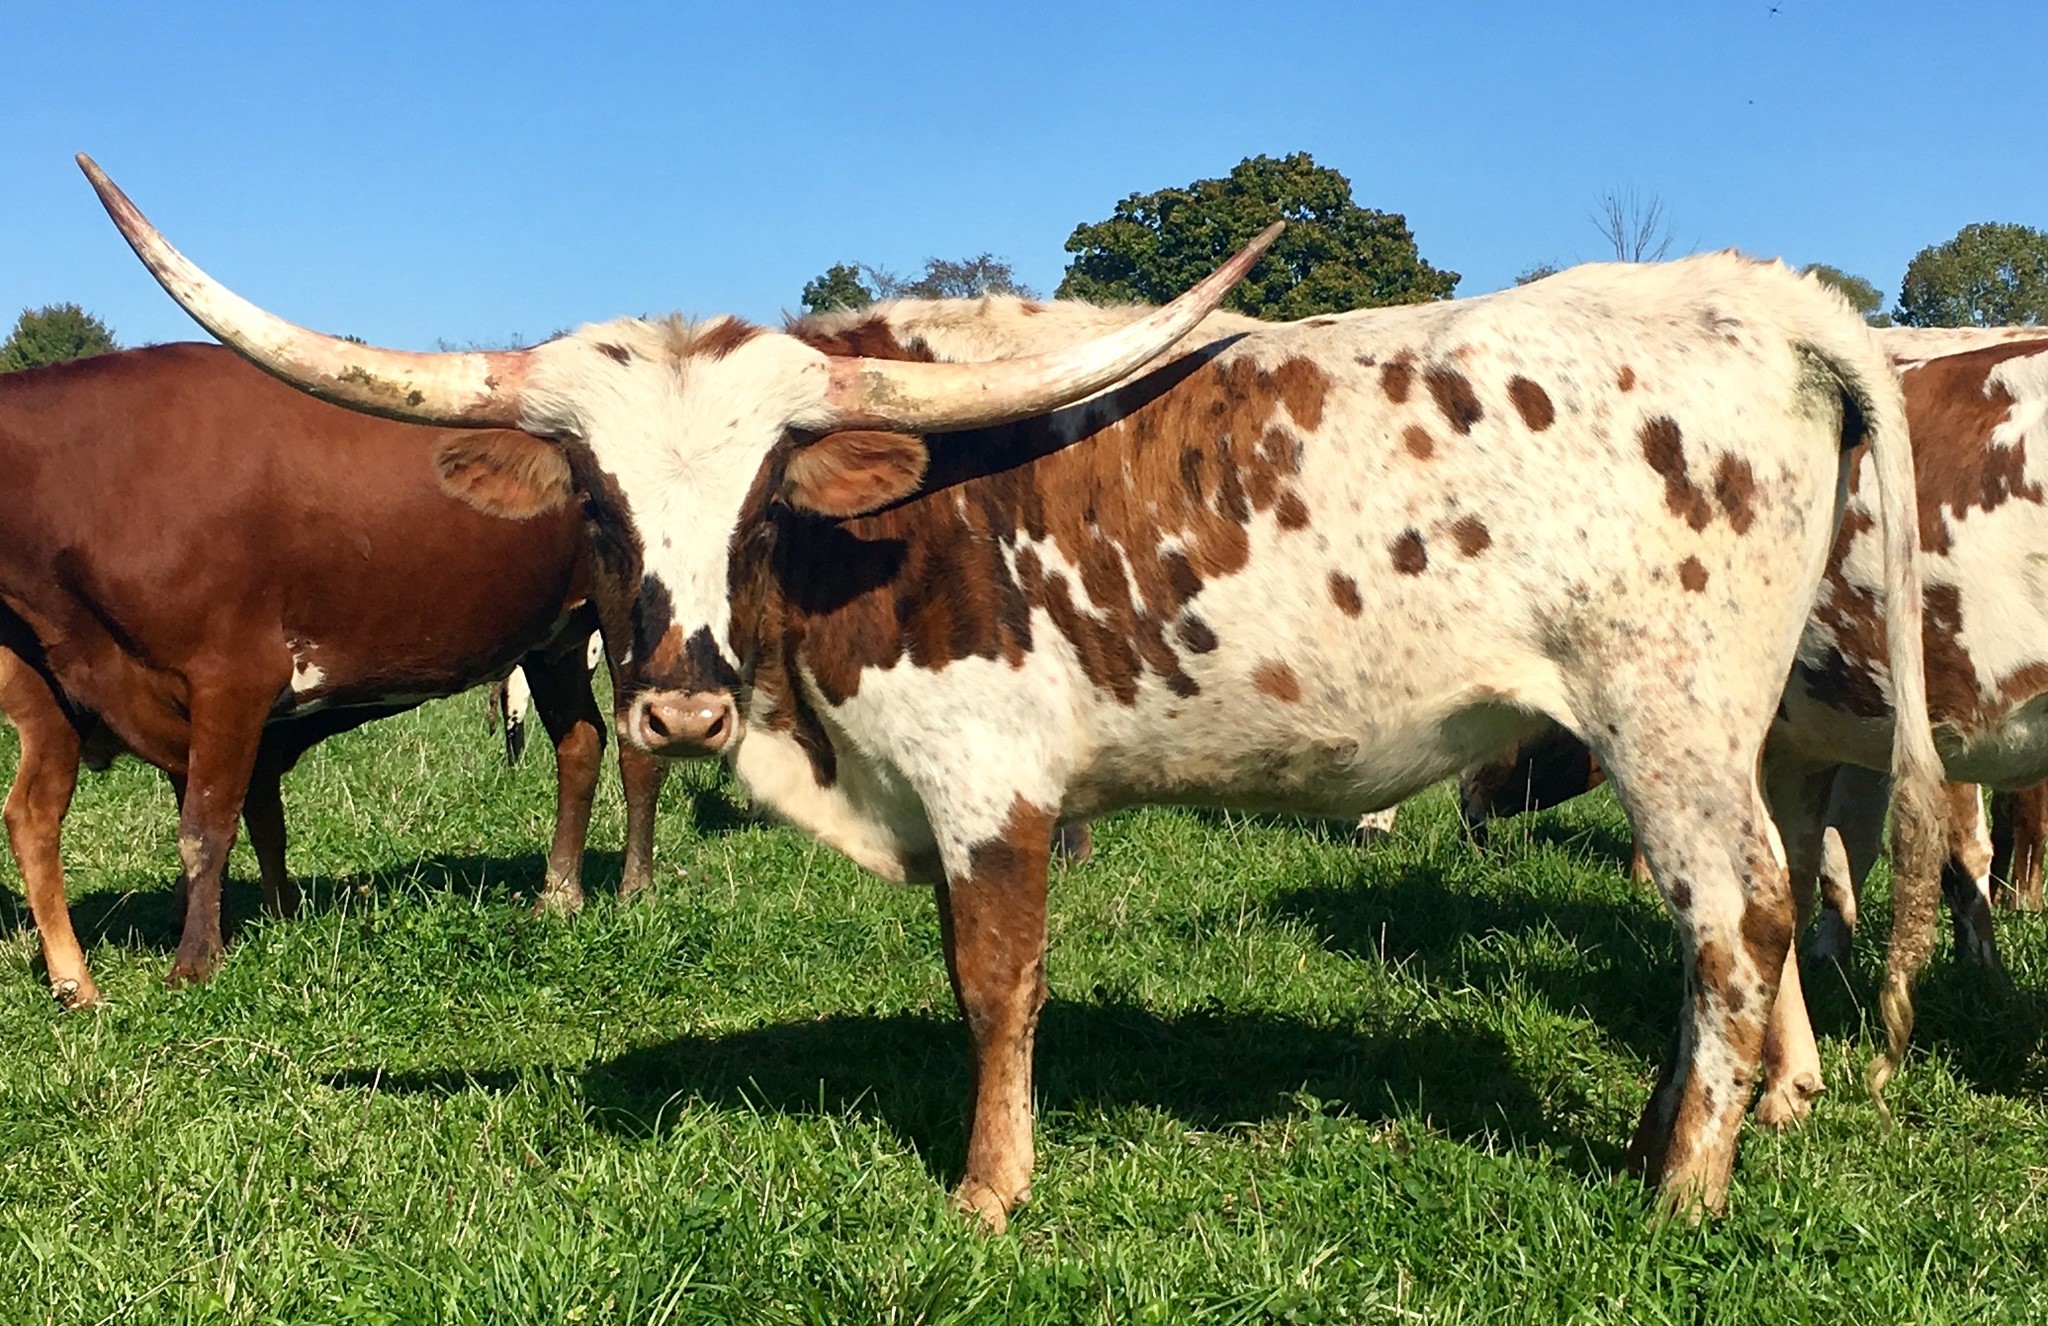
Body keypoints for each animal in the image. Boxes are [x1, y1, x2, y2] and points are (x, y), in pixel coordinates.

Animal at [0, 340, 665, 1002]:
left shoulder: (232, 676)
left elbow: (206, 827)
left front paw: (196, 961)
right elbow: (249, 817)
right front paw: (268, 919)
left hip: (630, 620)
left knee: (638, 751)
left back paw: (635, 888)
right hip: (555, 641)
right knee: (580, 744)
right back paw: (559, 894)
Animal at [87, 157, 1943, 1228]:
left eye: (764, 493)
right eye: (595, 508)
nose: (677, 713)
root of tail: (1754, 298)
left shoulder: (991, 784)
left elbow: (997, 987)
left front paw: (987, 1193)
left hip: (1671, 721)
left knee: (1737, 913)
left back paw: (1683, 1187)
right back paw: (1650, 1140)